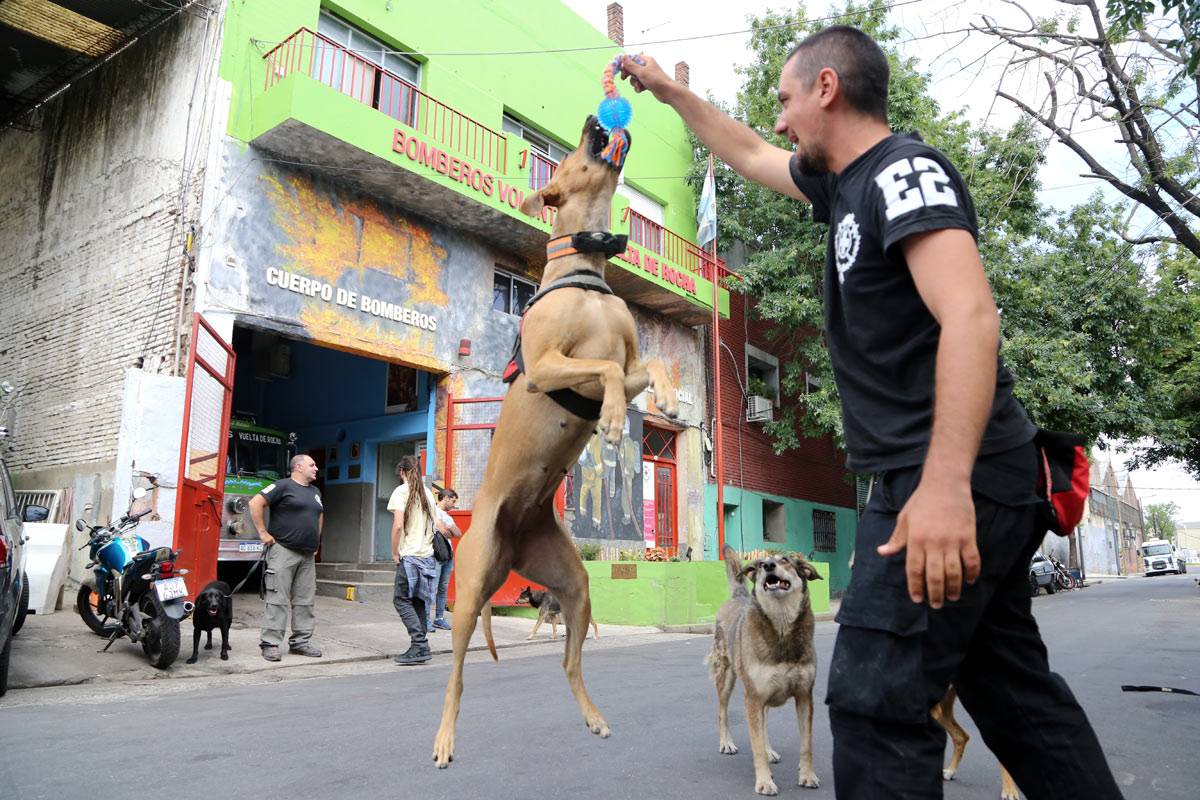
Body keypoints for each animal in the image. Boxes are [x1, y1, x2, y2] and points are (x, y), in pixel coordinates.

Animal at [432, 115, 676, 767]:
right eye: (567, 156)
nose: (594, 120)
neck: (584, 275)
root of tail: (511, 545)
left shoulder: (629, 360)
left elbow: (651, 366)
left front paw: (668, 399)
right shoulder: (548, 366)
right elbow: (607, 373)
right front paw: (613, 419)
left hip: (574, 585)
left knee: (570, 664)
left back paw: (592, 716)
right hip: (469, 591)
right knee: (456, 676)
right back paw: (444, 738)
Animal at [710, 544, 825, 796]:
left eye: (785, 561)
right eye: (762, 565)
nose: (768, 565)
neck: (781, 625)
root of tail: (738, 597)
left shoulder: (804, 696)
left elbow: (807, 744)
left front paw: (808, 776)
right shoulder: (753, 697)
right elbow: (757, 748)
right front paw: (764, 782)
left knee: (763, 725)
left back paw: (771, 750)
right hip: (727, 678)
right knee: (723, 711)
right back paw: (726, 743)